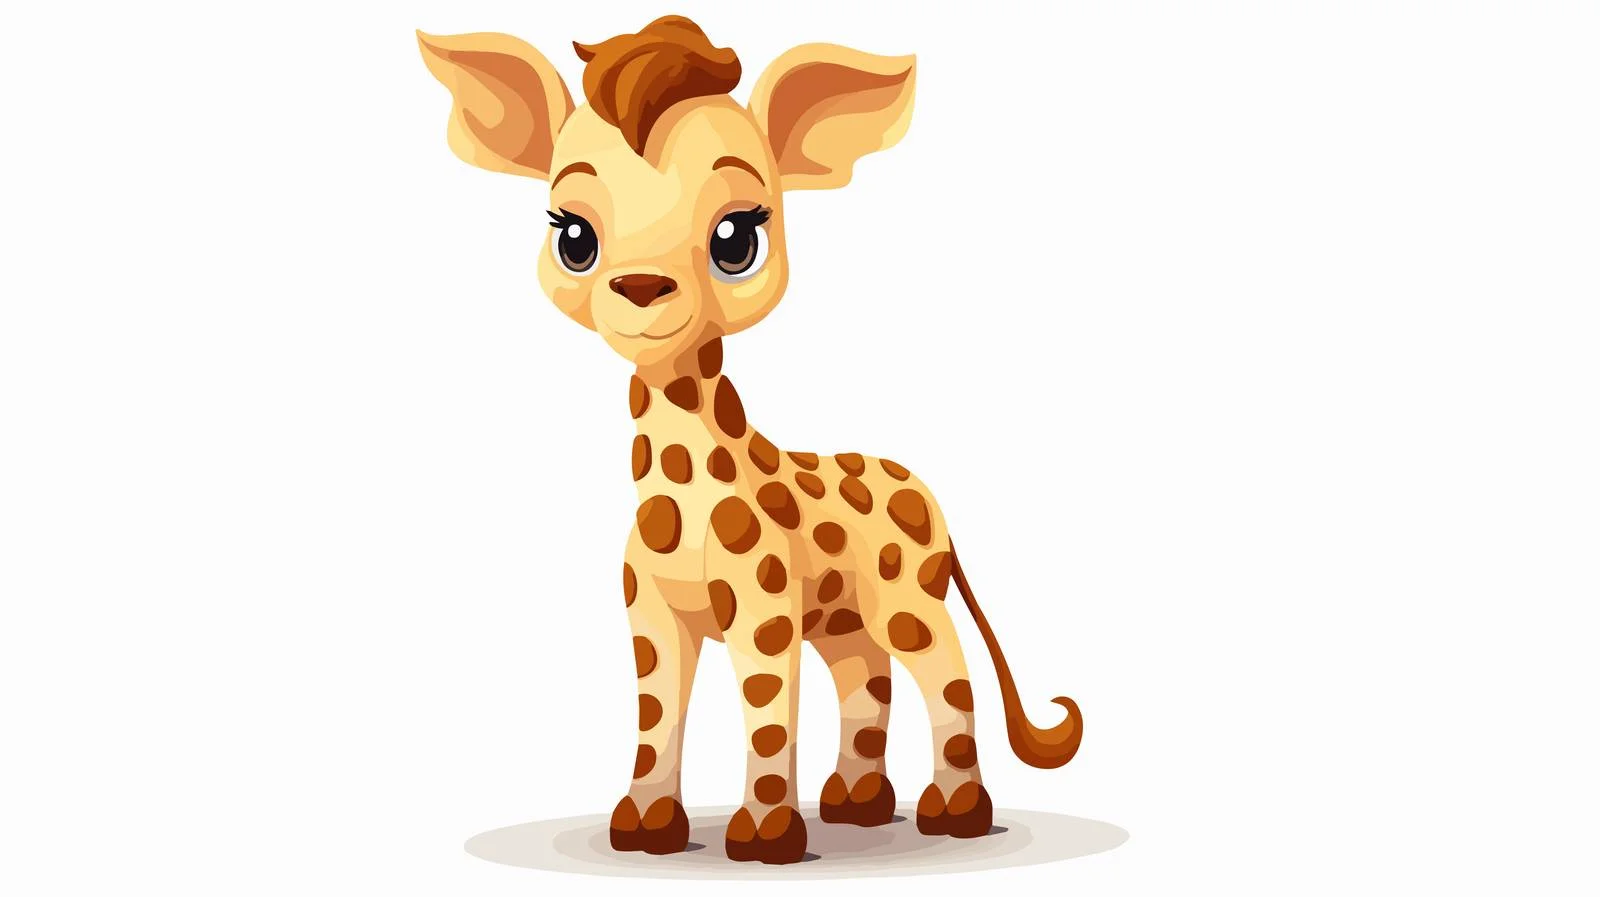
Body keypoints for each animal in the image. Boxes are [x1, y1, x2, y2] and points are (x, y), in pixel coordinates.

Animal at [418, 16, 1083, 865]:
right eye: (574, 235)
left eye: (736, 236)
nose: (641, 288)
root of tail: (924, 491)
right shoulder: (654, 613)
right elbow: (656, 712)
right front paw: (645, 825)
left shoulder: (762, 609)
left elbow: (766, 710)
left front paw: (765, 834)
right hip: (844, 617)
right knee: (866, 675)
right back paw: (857, 803)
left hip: (906, 597)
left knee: (946, 671)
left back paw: (953, 810)